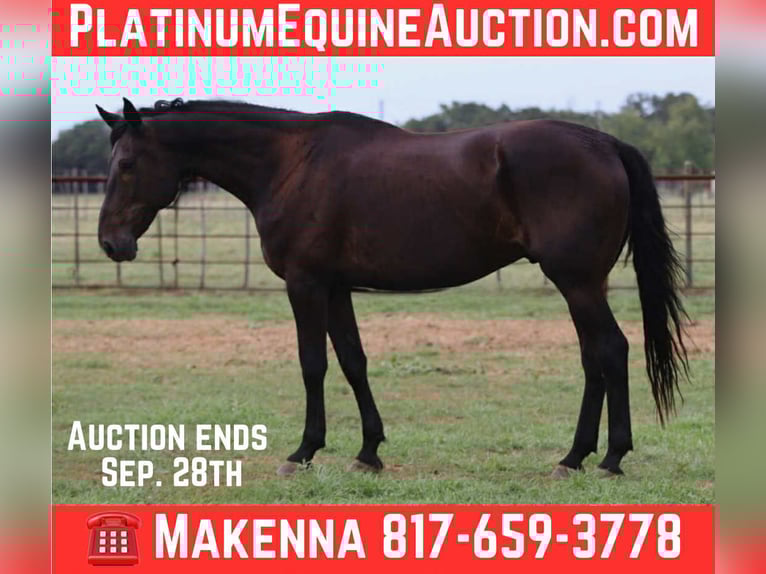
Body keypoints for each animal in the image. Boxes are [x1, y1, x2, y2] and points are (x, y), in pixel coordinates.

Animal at [95, 97, 688, 478]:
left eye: (127, 164)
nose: (110, 243)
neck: (291, 163)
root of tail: (604, 143)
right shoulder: (336, 288)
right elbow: (352, 361)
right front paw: (368, 451)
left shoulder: (306, 285)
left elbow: (313, 364)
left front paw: (303, 452)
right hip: (582, 284)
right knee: (594, 359)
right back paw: (576, 456)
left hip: (577, 282)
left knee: (611, 350)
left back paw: (609, 458)